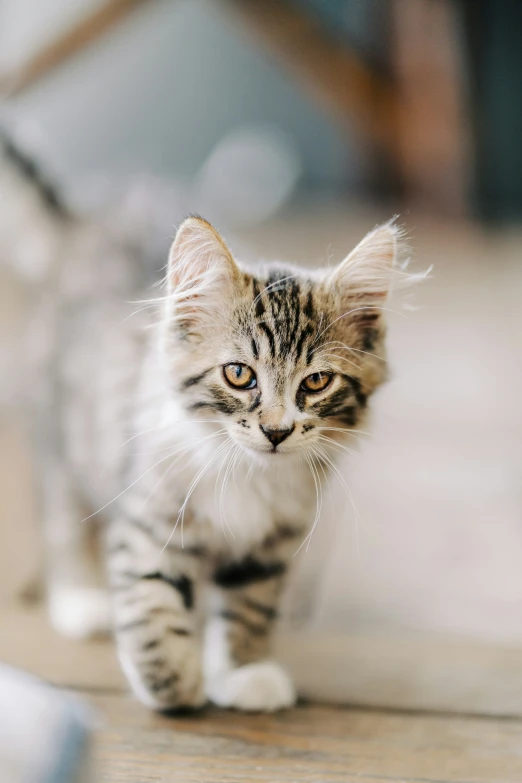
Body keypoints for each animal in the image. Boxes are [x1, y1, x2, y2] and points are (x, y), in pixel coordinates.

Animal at [38, 211, 406, 712]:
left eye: (316, 382)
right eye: (238, 374)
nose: (276, 431)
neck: (247, 470)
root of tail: (87, 227)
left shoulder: (270, 543)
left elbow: (248, 609)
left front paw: (242, 672)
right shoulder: (150, 516)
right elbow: (150, 602)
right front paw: (173, 683)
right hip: (62, 441)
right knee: (63, 521)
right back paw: (80, 599)